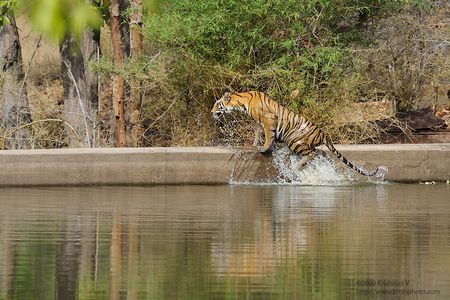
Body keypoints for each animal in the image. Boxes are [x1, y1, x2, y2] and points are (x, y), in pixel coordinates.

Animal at [211, 90, 386, 177]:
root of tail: (323, 132)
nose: (211, 112)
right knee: (320, 152)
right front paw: (254, 145)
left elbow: (268, 135)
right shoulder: (258, 123)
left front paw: (264, 148)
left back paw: (297, 167)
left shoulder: (268, 119)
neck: (241, 103)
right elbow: (257, 133)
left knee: (312, 154)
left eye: (217, 104)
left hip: (295, 140)